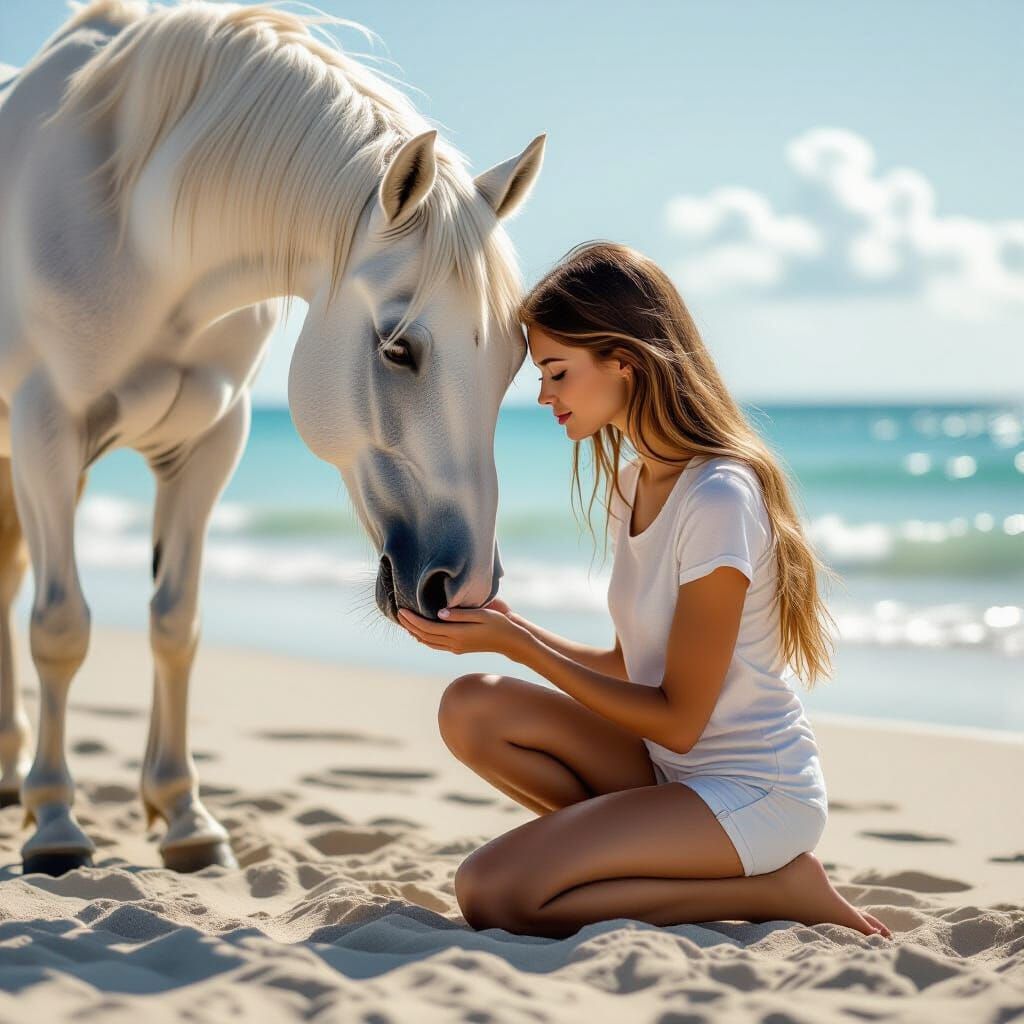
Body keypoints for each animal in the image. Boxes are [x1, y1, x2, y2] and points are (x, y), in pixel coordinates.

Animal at [0, 0, 545, 876]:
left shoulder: (209, 445)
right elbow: (61, 626)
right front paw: (54, 824)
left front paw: (184, 816)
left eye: (515, 358)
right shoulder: (47, 430)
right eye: (397, 347)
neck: (135, 229)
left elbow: (175, 624)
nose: (461, 589)